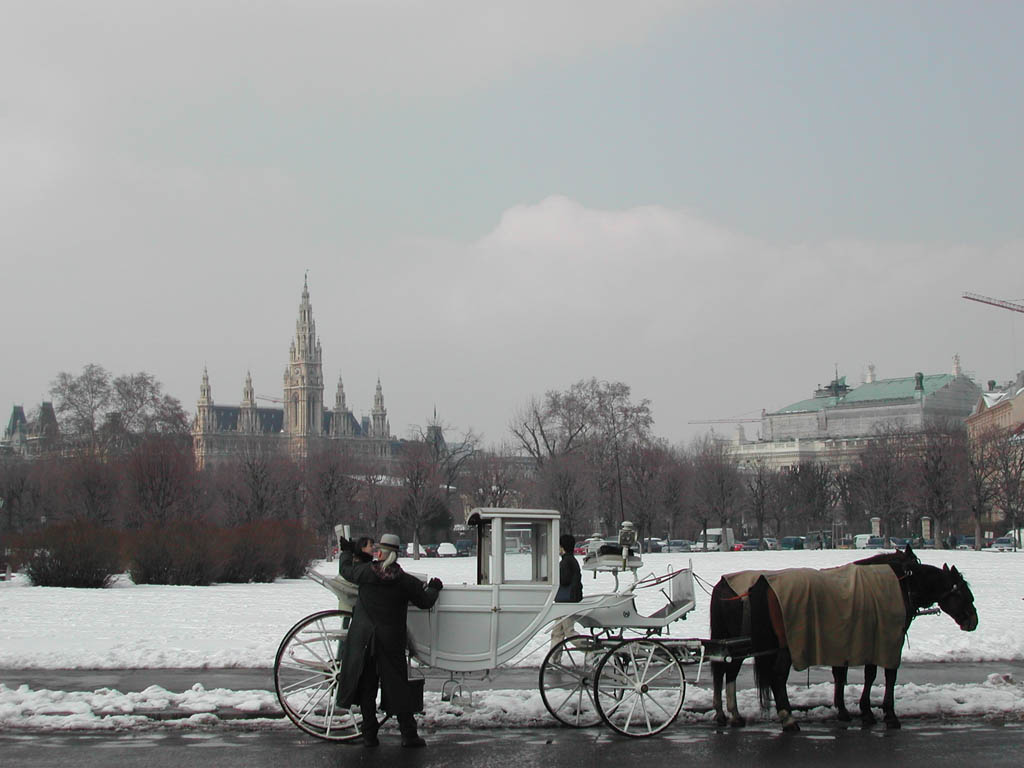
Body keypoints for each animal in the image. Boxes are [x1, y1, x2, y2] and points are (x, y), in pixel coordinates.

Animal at [708, 548, 978, 729]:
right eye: (964, 592)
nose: (973, 621)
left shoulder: (852, 639)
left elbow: (847, 675)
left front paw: (849, 709)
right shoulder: (886, 639)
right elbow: (885, 675)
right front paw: (885, 713)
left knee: (726, 672)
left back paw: (730, 714)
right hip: (782, 645)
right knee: (775, 676)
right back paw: (787, 718)